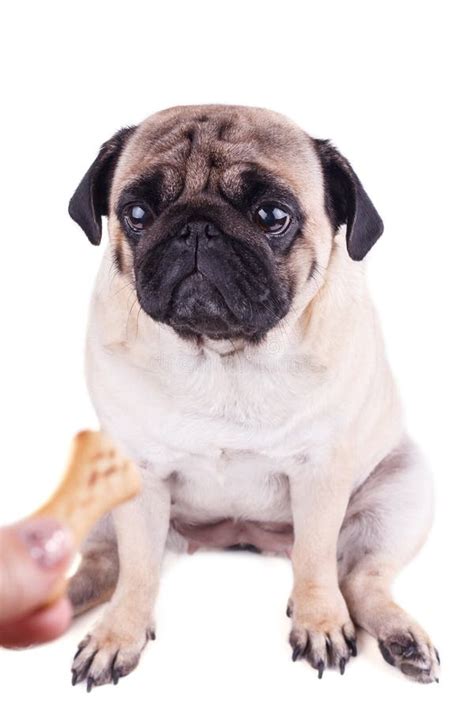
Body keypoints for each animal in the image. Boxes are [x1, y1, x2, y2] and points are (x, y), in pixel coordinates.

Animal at [66, 105, 440, 688]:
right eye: (137, 213)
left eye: (271, 215)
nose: (197, 226)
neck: (223, 358)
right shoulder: (139, 473)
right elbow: (138, 570)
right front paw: (118, 635)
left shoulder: (319, 473)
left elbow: (315, 559)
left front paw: (320, 622)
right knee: (108, 567)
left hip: (404, 490)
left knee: (359, 577)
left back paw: (400, 637)